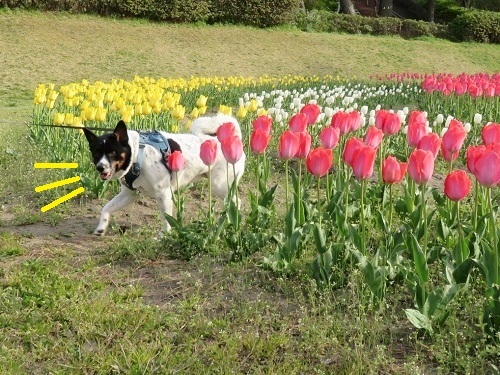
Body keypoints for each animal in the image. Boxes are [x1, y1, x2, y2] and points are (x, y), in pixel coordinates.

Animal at [82, 115, 246, 238]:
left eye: (112, 152)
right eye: (96, 153)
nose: (100, 167)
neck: (137, 155)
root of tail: (226, 139)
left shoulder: (164, 193)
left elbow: (165, 217)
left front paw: (164, 235)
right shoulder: (129, 194)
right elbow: (106, 208)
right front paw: (101, 227)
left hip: (220, 185)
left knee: (236, 201)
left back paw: (231, 221)